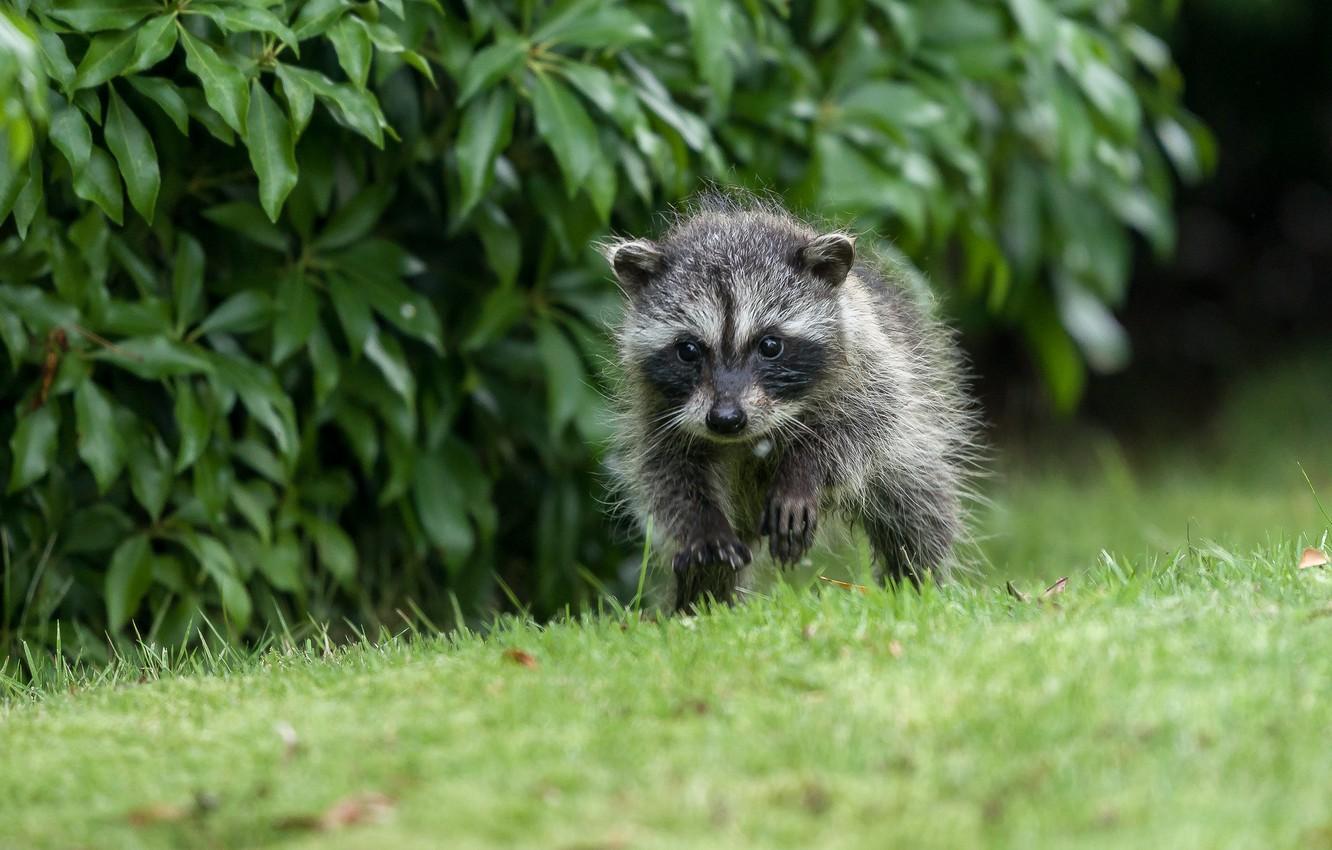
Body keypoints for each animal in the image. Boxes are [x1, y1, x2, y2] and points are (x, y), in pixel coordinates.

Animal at [604, 194, 978, 612]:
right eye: (688, 350)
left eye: (770, 345)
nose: (726, 419)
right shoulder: (656, 406)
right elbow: (667, 469)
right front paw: (703, 525)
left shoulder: (870, 361)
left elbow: (860, 425)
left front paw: (804, 472)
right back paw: (701, 604)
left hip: (912, 441)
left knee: (918, 510)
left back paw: (916, 584)